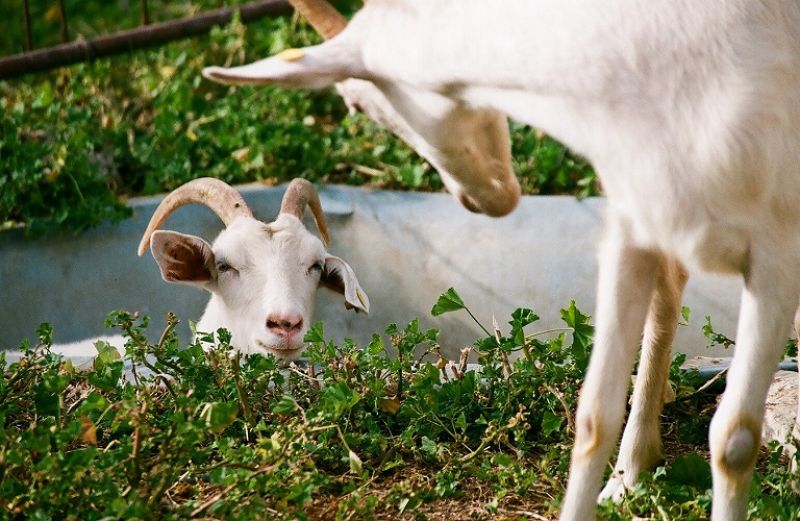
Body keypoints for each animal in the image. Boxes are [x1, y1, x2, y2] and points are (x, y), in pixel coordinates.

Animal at [202, 1, 800, 516]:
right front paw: (619, 477)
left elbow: (734, 440)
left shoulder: (777, 256)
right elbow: (593, 418)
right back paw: (631, 473)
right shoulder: (634, 230)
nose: (485, 199)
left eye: (357, 101)